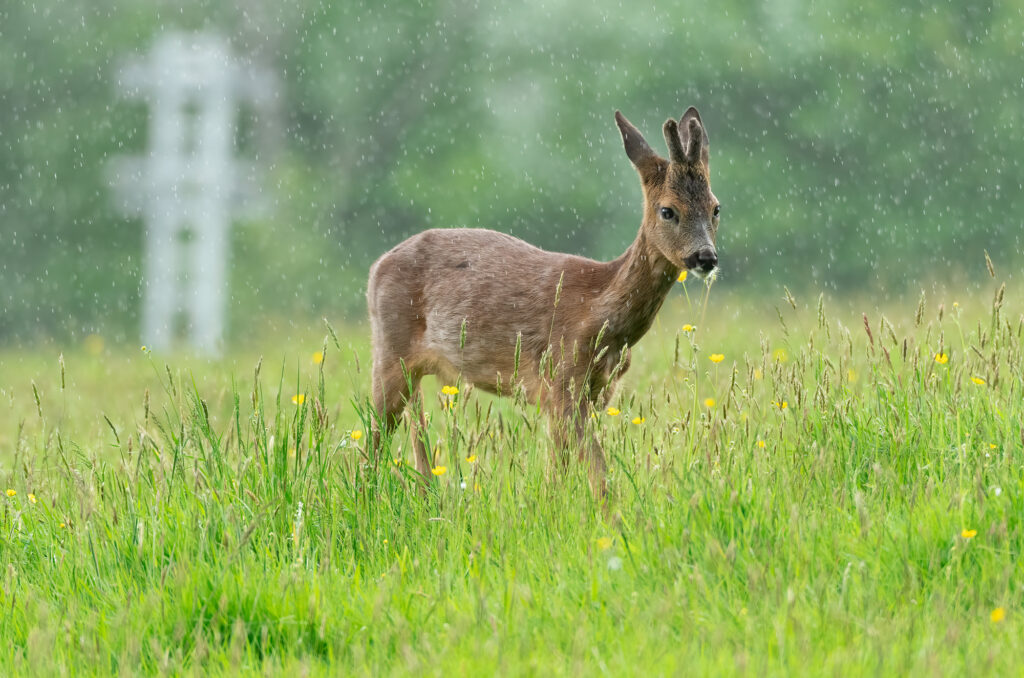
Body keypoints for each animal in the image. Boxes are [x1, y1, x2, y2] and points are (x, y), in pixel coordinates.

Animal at [368, 107, 720, 493]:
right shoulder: (562, 379)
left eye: (716, 208)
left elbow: (560, 473)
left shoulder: (595, 392)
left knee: (416, 443)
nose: (706, 257)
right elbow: (598, 474)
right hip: (389, 354)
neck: (597, 310)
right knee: (371, 444)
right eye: (668, 210)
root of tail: (375, 268)